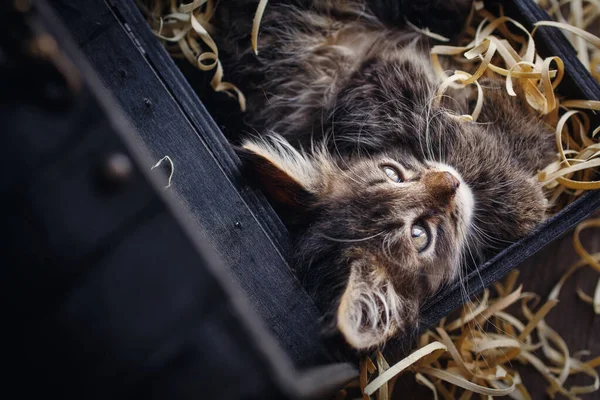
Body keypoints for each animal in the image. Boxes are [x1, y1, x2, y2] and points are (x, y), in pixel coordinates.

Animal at [210, 0, 552, 350]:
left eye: (392, 173)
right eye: (420, 235)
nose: (450, 182)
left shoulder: (380, 76)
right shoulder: (386, 81)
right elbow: (459, 133)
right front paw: (526, 191)